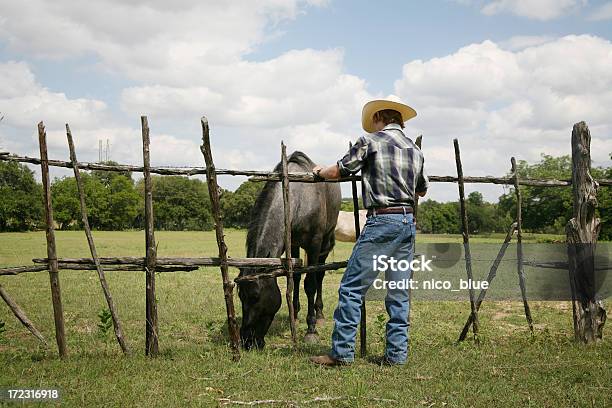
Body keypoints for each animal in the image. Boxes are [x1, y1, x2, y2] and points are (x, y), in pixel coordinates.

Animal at [237, 151, 342, 350]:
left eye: (255, 296)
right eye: (240, 296)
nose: (247, 341)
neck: (297, 197)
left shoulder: (314, 243)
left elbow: (310, 284)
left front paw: (311, 330)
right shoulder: (292, 243)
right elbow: (294, 278)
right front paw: (294, 314)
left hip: (325, 243)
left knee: (320, 275)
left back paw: (319, 315)